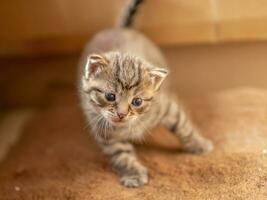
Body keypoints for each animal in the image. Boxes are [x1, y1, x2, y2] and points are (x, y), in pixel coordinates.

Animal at [78, 0, 215, 188]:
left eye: (137, 101)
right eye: (110, 96)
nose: (121, 114)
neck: (128, 126)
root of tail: (121, 30)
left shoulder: (166, 107)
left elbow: (183, 126)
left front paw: (198, 144)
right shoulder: (105, 133)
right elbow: (122, 155)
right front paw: (134, 173)